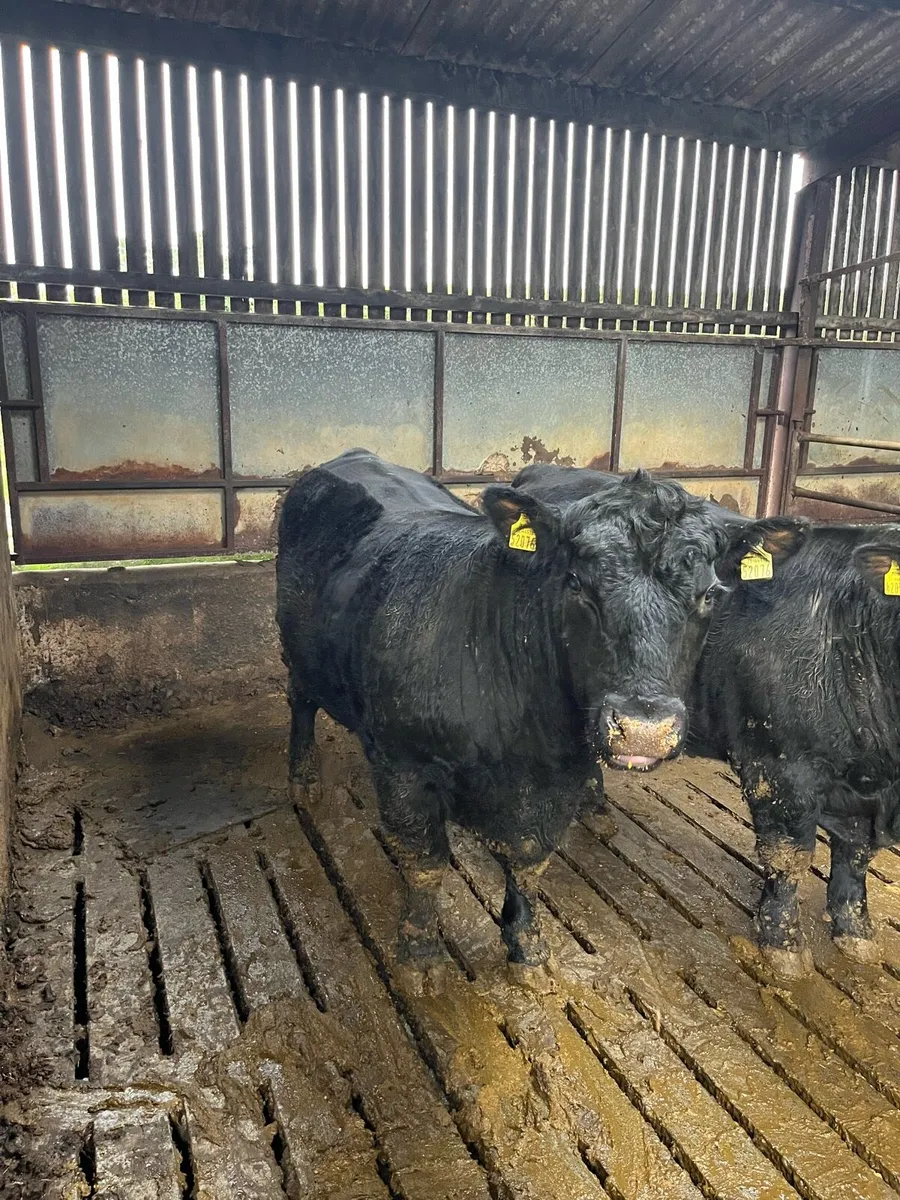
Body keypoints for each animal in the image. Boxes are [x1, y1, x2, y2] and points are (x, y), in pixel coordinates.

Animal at [276, 449, 803, 968]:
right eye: (575, 582)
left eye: (710, 594)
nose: (643, 728)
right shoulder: (402, 762)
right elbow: (425, 863)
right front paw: (419, 950)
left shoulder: (560, 780)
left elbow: (530, 860)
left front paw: (526, 943)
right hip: (296, 652)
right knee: (301, 702)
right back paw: (303, 779)